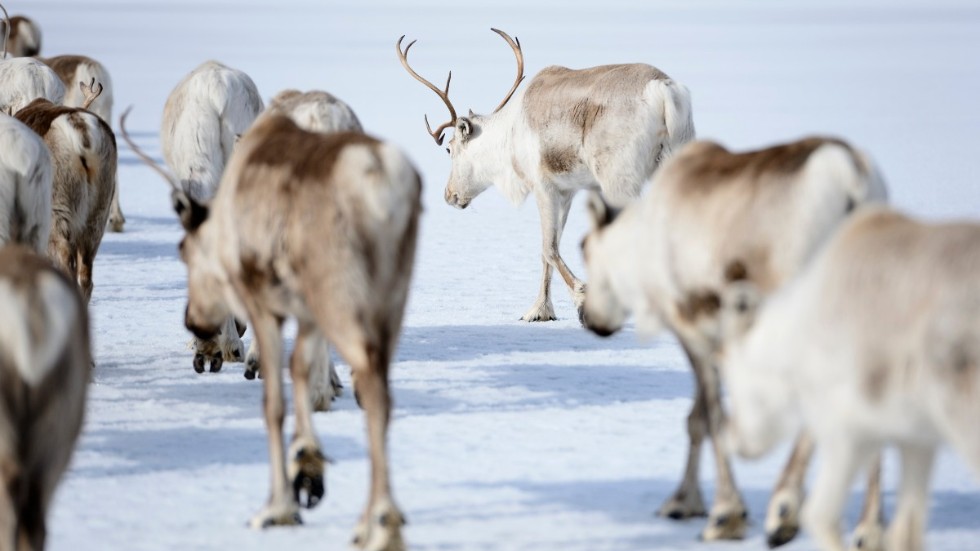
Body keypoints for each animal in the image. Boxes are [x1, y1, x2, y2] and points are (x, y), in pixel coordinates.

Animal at [580, 138, 888, 544]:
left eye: (584, 247)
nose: (589, 318)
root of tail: (850, 173)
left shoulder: (692, 326)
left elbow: (714, 419)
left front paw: (725, 514)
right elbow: (696, 418)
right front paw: (684, 501)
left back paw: (785, 508)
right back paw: (870, 528)